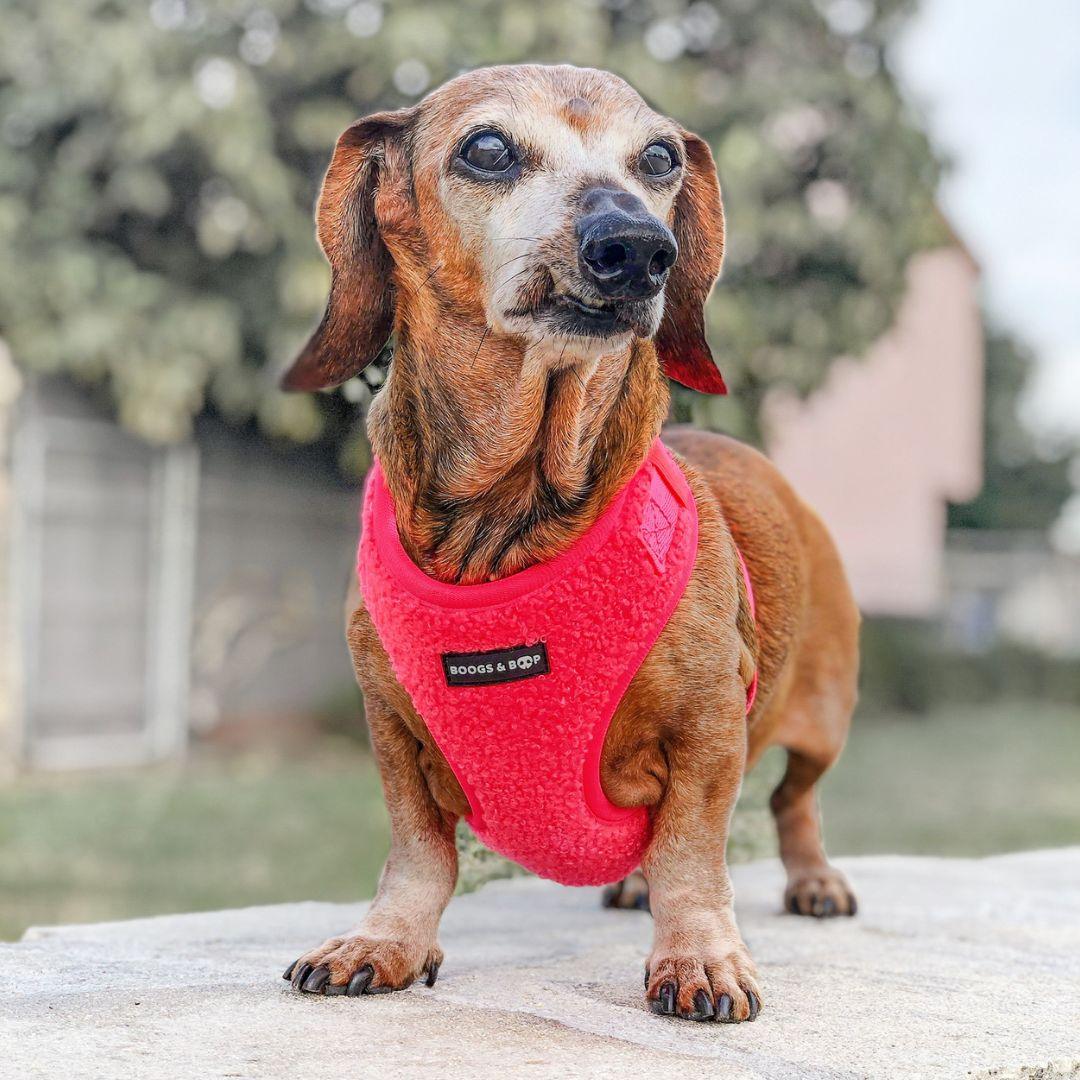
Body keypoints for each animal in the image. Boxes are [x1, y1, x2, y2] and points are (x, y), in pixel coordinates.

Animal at [278, 63, 859, 1023]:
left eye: (659, 157)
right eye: (486, 147)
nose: (637, 247)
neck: (511, 518)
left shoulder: (710, 724)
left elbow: (693, 852)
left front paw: (700, 957)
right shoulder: (390, 727)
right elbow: (418, 854)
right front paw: (384, 941)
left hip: (824, 719)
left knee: (795, 803)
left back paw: (813, 879)